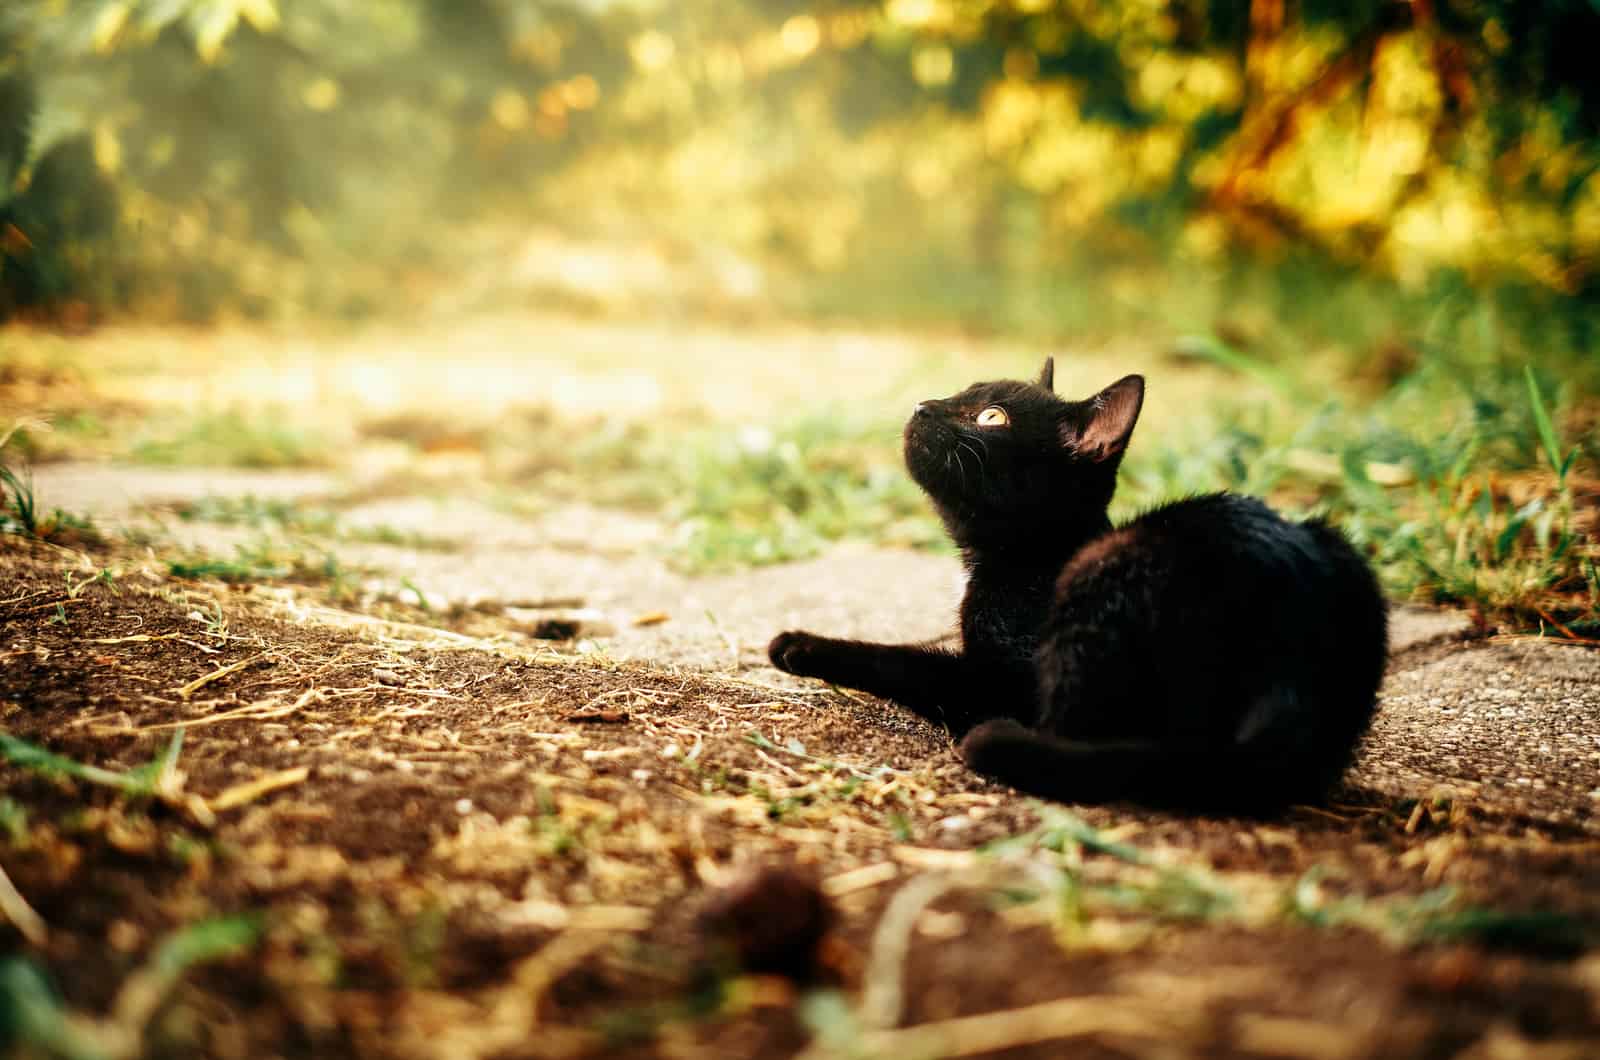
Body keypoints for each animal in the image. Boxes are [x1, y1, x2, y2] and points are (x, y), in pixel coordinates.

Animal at [771, 358, 1388, 813]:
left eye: (991, 416)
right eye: (959, 392)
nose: (923, 404)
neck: (1027, 557)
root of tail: (1296, 662)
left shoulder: (1002, 681)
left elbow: (906, 662)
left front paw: (802, 645)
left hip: (1105, 579)